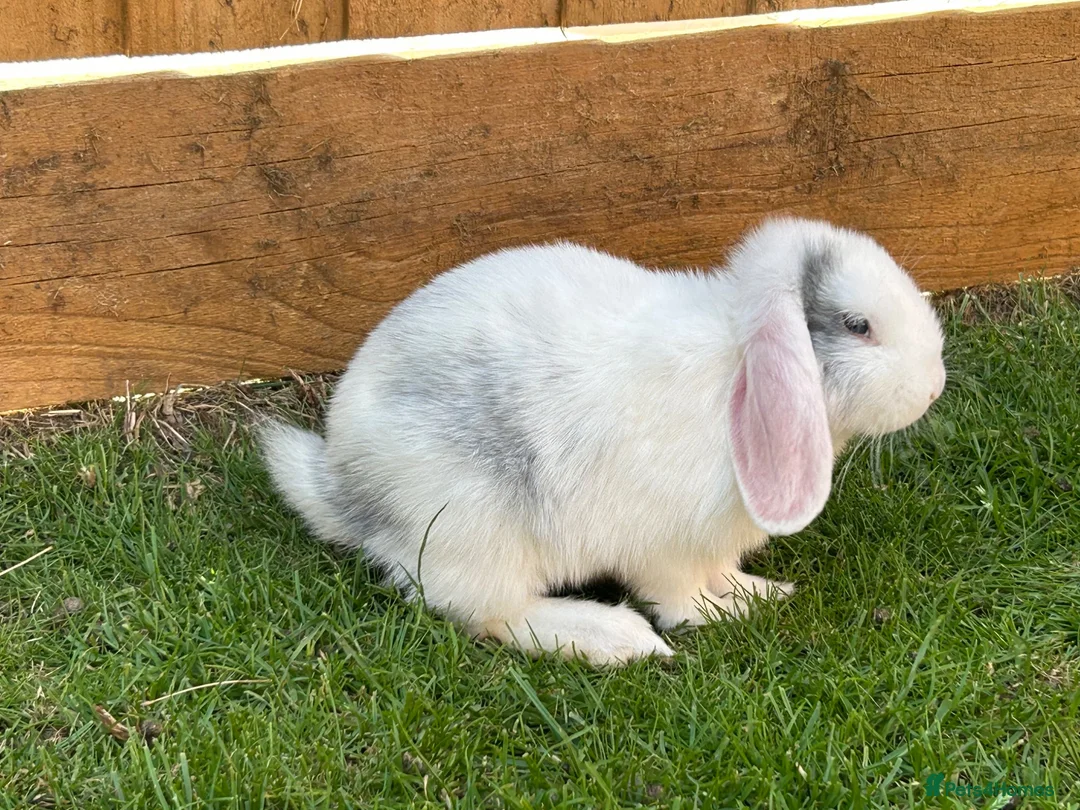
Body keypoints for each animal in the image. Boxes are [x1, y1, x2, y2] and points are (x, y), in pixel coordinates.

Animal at [260, 217, 946, 666]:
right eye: (858, 326)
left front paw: (759, 592)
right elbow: (679, 597)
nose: (935, 384)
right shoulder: (664, 547)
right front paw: (722, 614)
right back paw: (617, 640)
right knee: (490, 614)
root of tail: (348, 491)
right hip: (474, 528)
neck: (739, 369)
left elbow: (723, 570)